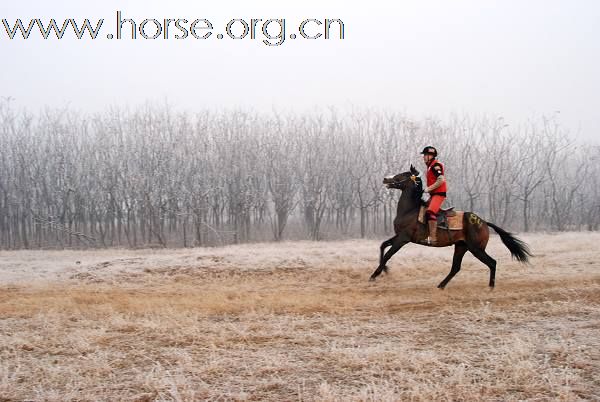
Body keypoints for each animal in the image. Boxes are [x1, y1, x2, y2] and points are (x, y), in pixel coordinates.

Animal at [368, 165, 532, 288]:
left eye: (403, 174)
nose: (385, 179)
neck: (410, 210)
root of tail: (484, 222)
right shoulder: (399, 236)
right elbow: (383, 245)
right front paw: (384, 270)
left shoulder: (404, 238)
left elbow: (389, 254)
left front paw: (374, 274)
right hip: (461, 246)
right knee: (456, 267)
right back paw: (441, 285)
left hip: (476, 248)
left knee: (492, 262)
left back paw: (491, 287)